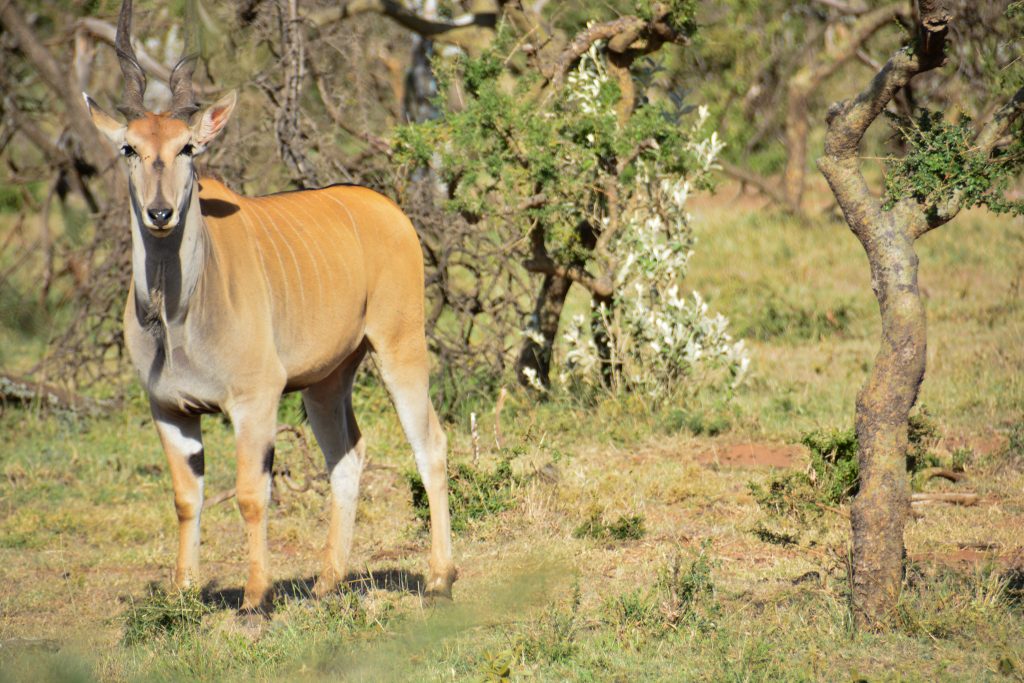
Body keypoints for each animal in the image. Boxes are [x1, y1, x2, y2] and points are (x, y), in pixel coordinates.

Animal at [86, 0, 454, 610]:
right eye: (128, 148)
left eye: (188, 147)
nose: (161, 213)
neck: (176, 314)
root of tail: (388, 209)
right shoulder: (169, 409)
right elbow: (186, 498)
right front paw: (183, 594)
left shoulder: (254, 400)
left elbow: (251, 494)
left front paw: (255, 598)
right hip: (328, 379)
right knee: (347, 455)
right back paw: (328, 581)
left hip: (400, 346)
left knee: (430, 444)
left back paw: (441, 577)